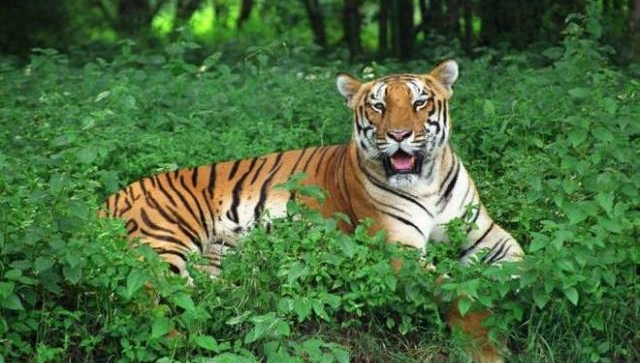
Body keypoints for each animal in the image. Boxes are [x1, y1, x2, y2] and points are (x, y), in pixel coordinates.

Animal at [99, 60, 520, 363]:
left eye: (420, 102)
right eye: (379, 105)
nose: (399, 135)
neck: (426, 182)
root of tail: (109, 199)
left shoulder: (486, 235)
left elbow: (522, 266)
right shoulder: (397, 251)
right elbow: (459, 292)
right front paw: (487, 349)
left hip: (214, 259)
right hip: (164, 241)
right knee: (147, 302)